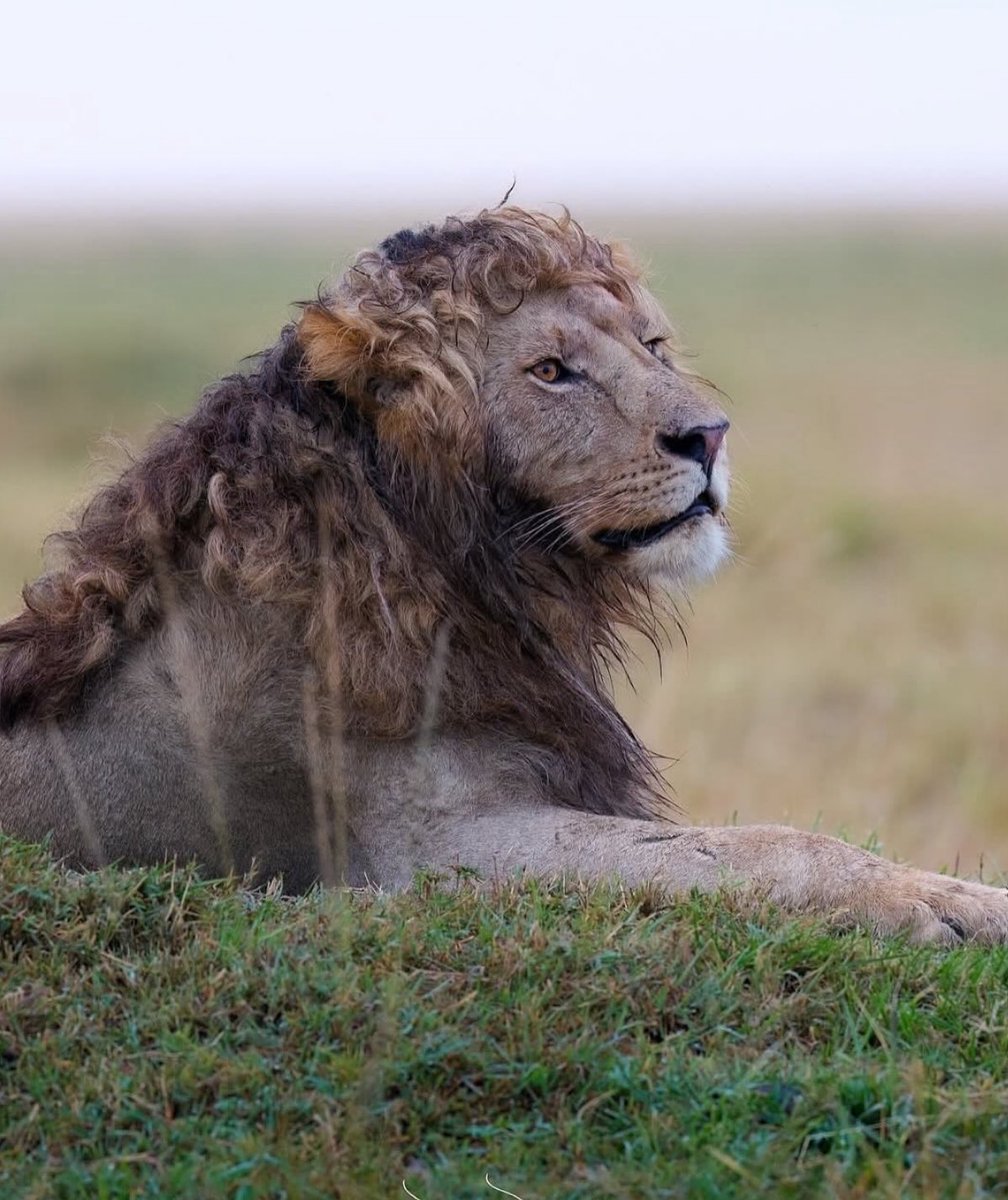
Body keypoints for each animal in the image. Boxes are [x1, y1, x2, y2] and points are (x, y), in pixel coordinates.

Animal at [1, 206, 1005, 946]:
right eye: (552, 371)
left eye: (652, 346)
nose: (710, 436)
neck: (478, 569)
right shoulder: (439, 852)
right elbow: (761, 846)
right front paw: (933, 903)